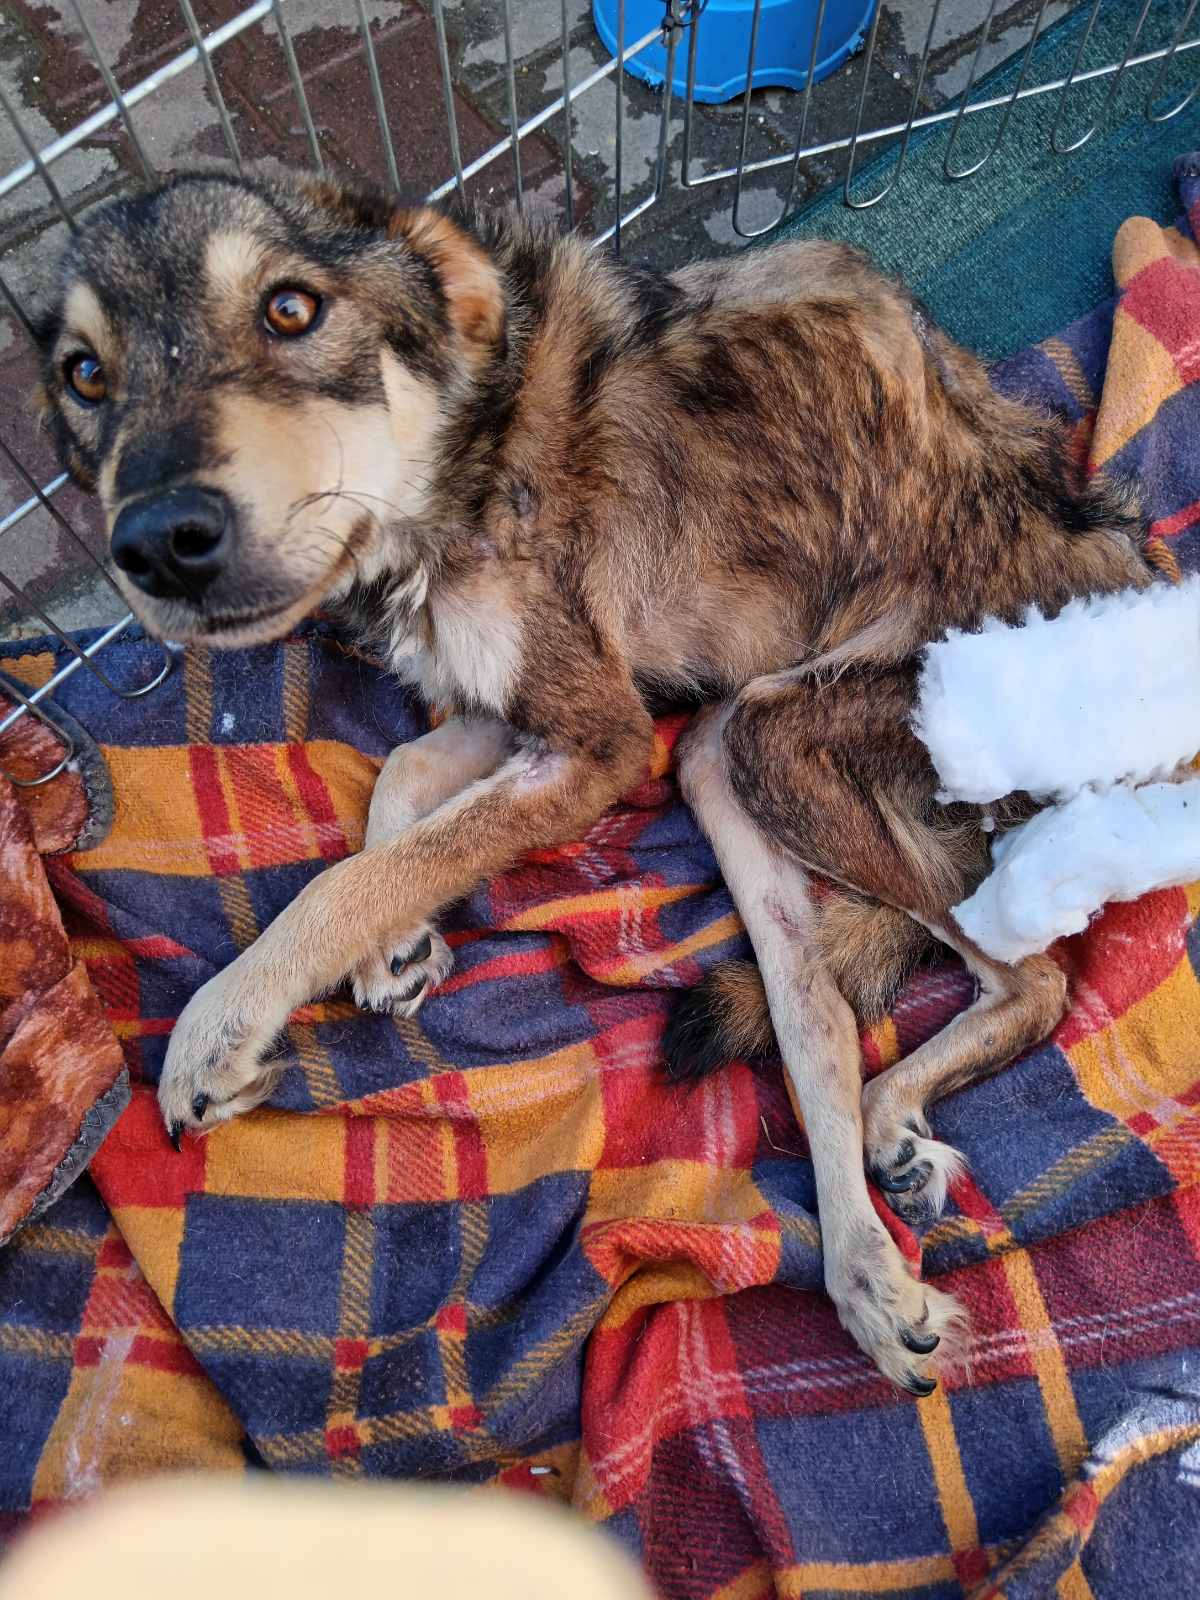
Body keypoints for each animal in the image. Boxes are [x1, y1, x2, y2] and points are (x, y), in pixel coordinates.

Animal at [34, 167, 1149, 1394]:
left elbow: (349, 878)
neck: (465, 450)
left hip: (773, 736)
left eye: (290, 309)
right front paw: (396, 945)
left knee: (1035, 980)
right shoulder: (544, 705)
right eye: (84, 375)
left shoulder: (605, 738)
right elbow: (402, 783)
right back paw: (871, 1252)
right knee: (819, 1021)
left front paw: (226, 1020)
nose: (155, 541)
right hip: (715, 756)